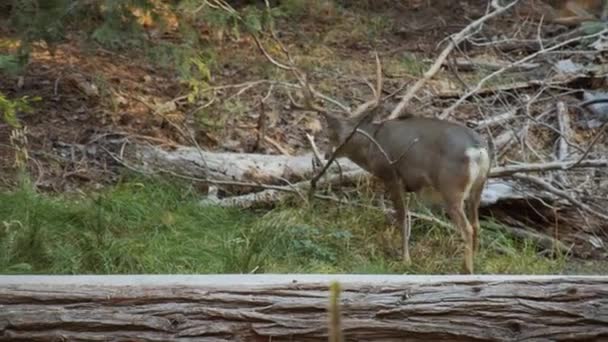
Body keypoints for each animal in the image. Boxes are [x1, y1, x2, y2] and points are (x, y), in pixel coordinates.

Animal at [252, 35, 494, 276]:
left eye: (333, 136)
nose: (327, 153)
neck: (370, 146)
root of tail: (478, 149)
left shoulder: (391, 174)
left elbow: (402, 216)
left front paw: (405, 259)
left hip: (451, 187)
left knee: (467, 228)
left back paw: (466, 269)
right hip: (478, 186)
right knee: (477, 224)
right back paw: (477, 263)